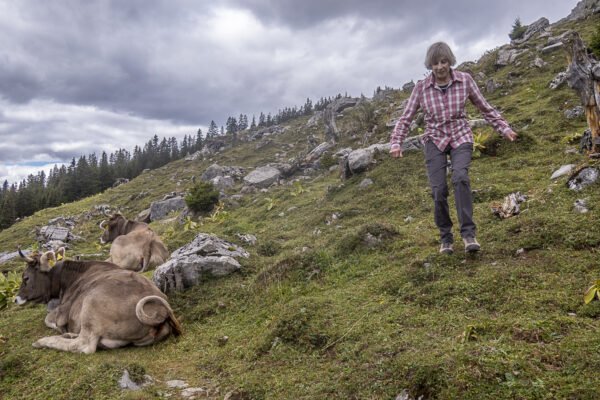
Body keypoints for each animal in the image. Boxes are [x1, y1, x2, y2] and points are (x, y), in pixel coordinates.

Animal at [14, 248, 183, 354]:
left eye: (25, 278)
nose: (16, 299)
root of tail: (162, 311)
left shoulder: (62, 311)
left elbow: (48, 319)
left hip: (90, 305)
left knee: (84, 345)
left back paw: (44, 341)